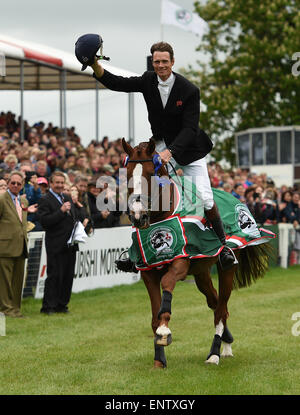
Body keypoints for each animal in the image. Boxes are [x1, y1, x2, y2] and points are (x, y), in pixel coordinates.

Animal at [121, 140, 272, 370]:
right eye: (128, 174)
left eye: (149, 174)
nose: (138, 217)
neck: (161, 215)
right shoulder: (147, 270)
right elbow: (154, 316)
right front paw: (159, 359)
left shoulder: (180, 262)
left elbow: (167, 284)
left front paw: (164, 330)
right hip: (201, 272)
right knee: (215, 302)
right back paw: (227, 344)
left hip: (226, 268)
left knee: (220, 310)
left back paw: (215, 354)